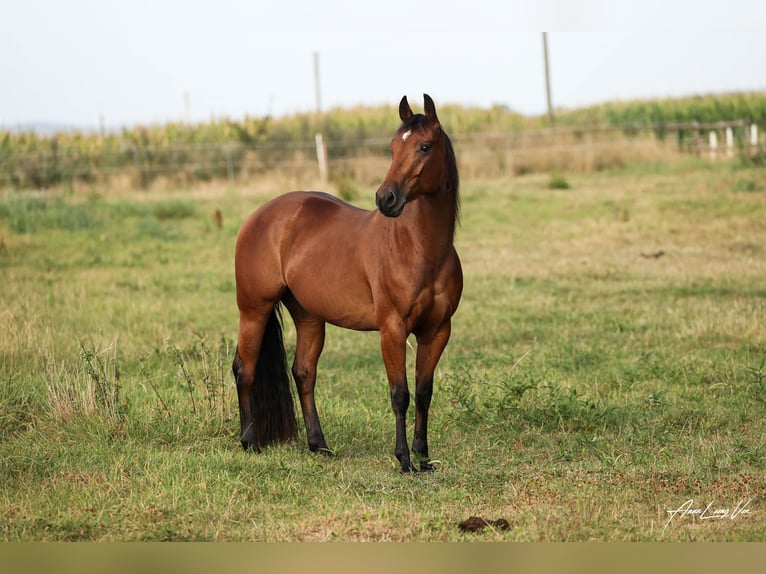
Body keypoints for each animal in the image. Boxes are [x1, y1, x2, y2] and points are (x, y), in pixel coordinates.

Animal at [232, 94, 462, 472]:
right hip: (254, 309)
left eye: (424, 147)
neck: (420, 249)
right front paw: (404, 460)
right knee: (244, 370)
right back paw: (250, 442)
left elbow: (423, 393)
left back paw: (319, 445)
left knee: (303, 372)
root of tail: (260, 216)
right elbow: (400, 394)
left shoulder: (437, 330)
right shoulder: (392, 329)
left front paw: (424, 456)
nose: (386, 199)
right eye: (392, 148)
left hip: (309, 316)